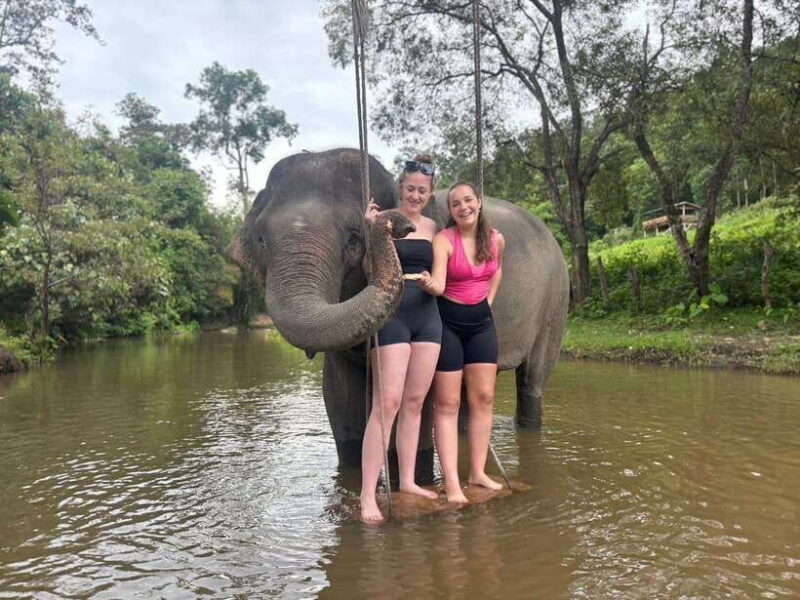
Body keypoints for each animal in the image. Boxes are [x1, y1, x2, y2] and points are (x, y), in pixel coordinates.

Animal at [229, 148, 569, 481]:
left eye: (353, 238)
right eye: (261, 240)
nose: (400, 225)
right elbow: (340, 398)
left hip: (555, 303)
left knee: (531, 380)